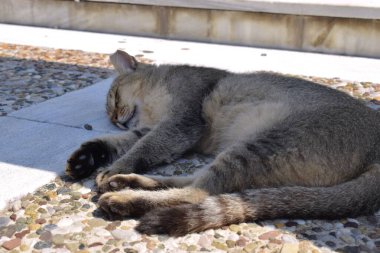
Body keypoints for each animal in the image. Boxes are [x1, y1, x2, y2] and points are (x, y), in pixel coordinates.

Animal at [65, 50, 380, 237]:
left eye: (115, 97)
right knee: (194, 183)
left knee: (198, 192)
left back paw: (124, 197)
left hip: (261, 145)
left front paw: (114, 166)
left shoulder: (181, 121)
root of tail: (377, 146)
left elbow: (145, 147)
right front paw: (88, 157)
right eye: (110, 113)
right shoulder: (153, 129)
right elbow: (125, 141)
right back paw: (128, 182)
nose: (116, 119)